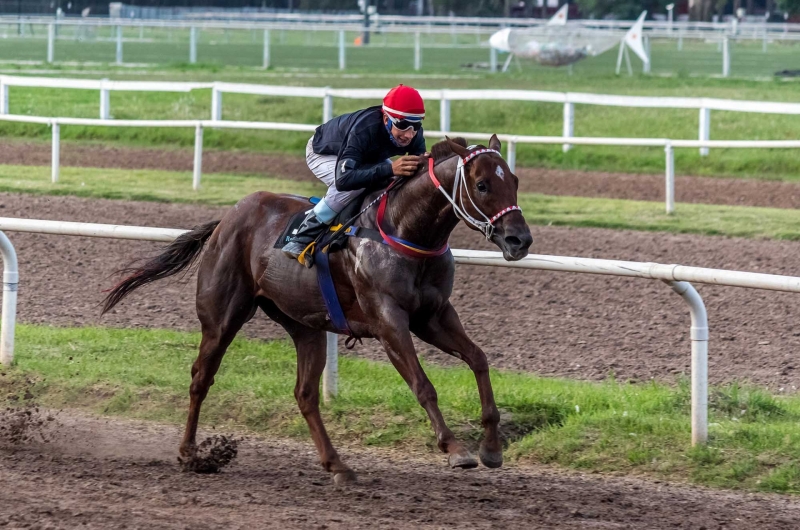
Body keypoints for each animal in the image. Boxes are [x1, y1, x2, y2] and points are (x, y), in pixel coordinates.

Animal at [103, 135, 536, 482]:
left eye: (514, 181)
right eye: (482, 185)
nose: (520, 240)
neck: (405, 230)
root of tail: (227, 218)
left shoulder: (433, 316)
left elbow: (478, 359)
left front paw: (492, 448)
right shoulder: (388, 320)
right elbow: (423, 385)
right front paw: (455, 449)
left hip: (305, 325)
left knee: (305, 394)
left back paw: (337, 465)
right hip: (222, 317)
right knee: (200, 378)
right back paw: (191, 454)